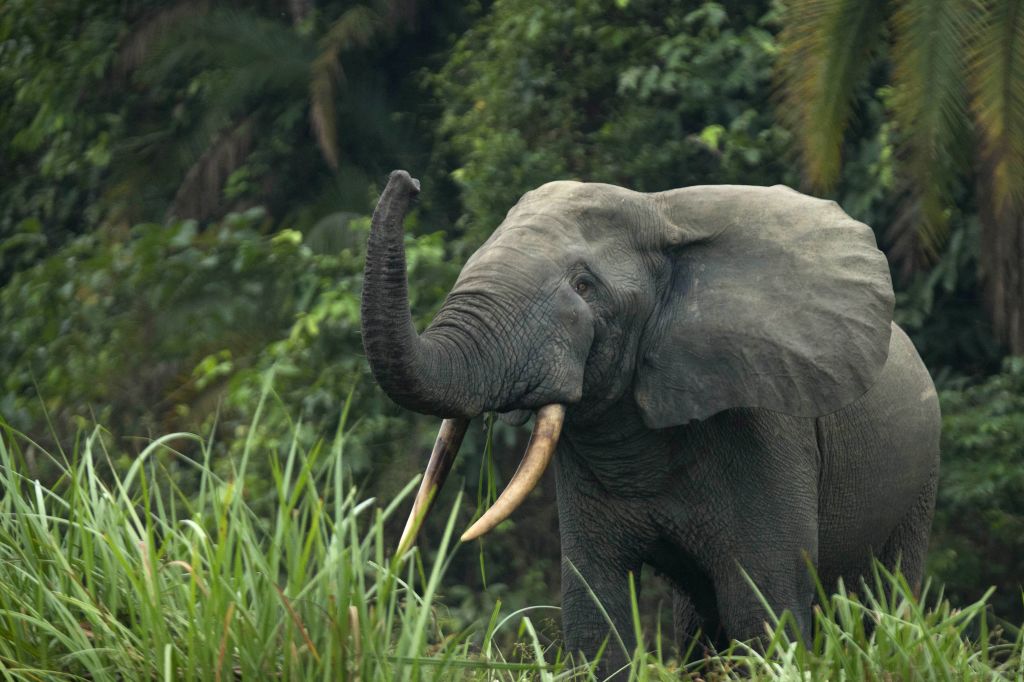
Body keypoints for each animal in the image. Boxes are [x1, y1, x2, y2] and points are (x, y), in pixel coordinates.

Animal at [360, 170, 941, 677]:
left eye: (584, 285)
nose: (407, 183)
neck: (661, 216)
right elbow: (595, 610)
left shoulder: (766, 430)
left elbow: (763, 607)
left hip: (921, 479)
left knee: (887, 597)